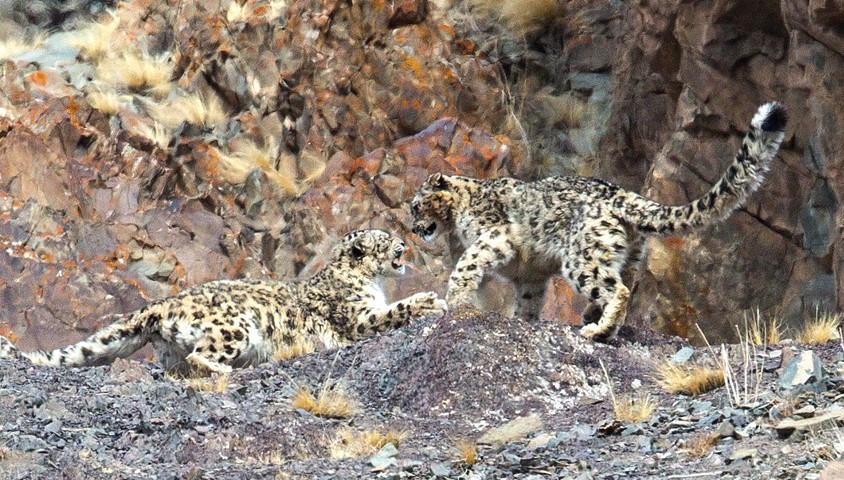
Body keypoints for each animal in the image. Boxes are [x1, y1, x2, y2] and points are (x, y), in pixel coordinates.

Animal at [0, 229, 447, 374]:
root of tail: (159, 306)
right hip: (237, 326)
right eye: (384, 240)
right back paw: (230, 370)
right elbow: (391, 313)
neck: (373, 284)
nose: (405, 245)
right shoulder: (355, 319)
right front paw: (432, 301)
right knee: (202, 357)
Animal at [410, 102, 788, 342]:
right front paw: (524, 320)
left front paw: (456, 300)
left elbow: (467, 263)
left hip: (580, 256)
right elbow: (529, 298)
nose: (414, 228)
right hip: (627, 256)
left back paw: (597, 331)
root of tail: (624, 194)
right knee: (622, 283)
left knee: (617, 289)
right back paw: (595, 317)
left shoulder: (494, 235)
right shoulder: (530, 276)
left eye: (415, 207)